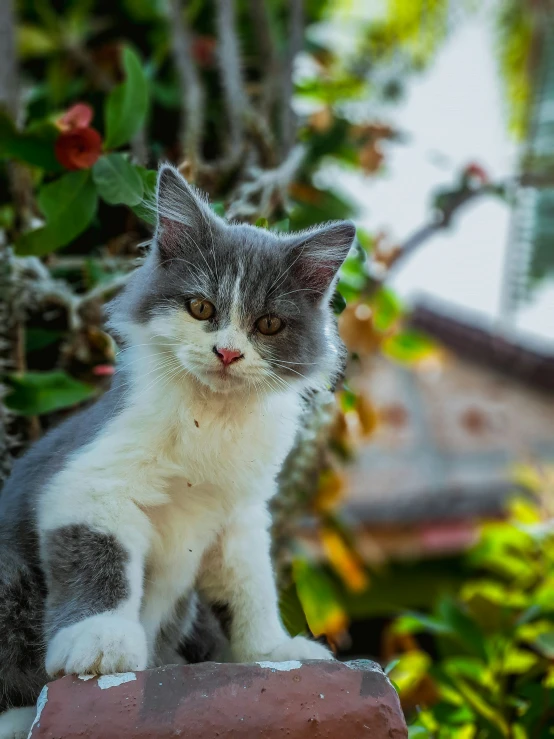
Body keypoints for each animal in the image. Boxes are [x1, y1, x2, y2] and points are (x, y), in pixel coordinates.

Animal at [0, 168, 354, 739]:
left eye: (268, 325)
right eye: (201, 308)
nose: (227, 352)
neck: (212, 418)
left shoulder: (240, 515)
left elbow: (250, 586)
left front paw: (274, 650)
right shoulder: (91, 484)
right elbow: (100, 562)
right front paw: (100, 643)